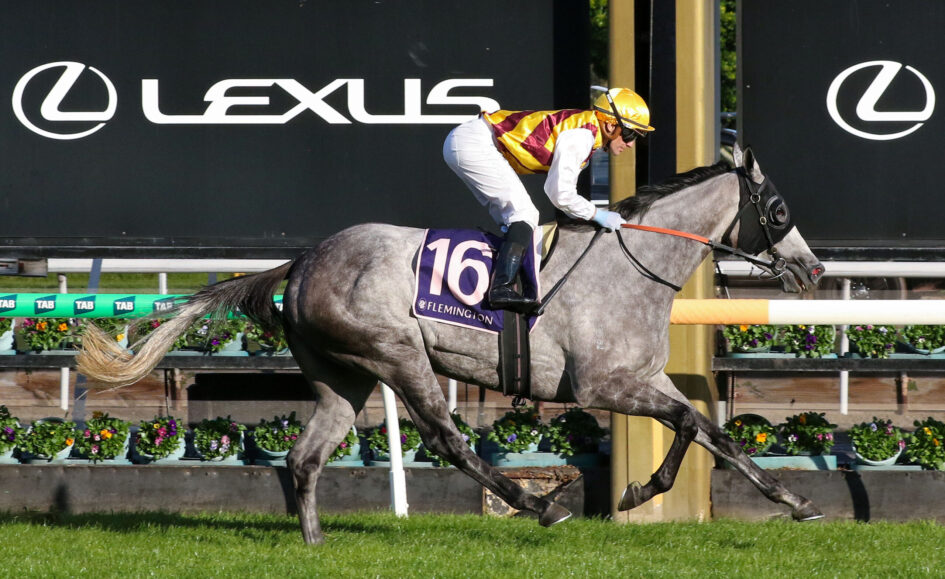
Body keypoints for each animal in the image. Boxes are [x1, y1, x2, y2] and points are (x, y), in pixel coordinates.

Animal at [77, 143, 826, 544]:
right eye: (779, 210)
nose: (812, 269)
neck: (630, 265)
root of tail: (302, 261)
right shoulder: (602, 384)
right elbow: (689, 424)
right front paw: (641, 492)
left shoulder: (646, 376)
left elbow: (707, 429)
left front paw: (790, 501)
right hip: (397, 355)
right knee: (447, 439)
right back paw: (538, 505)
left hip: (340, 377)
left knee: (304, 455)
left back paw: (314, 538)